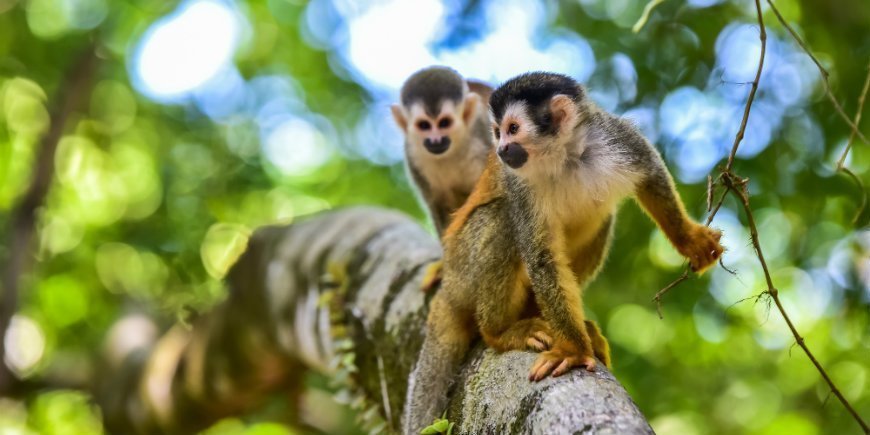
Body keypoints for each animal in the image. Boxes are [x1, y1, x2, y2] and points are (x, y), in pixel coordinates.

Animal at [404, 73, 728, 434]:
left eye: (512, 129)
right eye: (497, 132)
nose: (500, 150)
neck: (565, 156)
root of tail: (448, 284)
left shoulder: (615, 137)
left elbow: (651, 174)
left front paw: (689, 239)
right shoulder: (520, 184)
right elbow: (542, 256)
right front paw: (572, 349)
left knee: (603, 218)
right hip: (463, 268)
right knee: (501, 218)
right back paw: (500, 331)